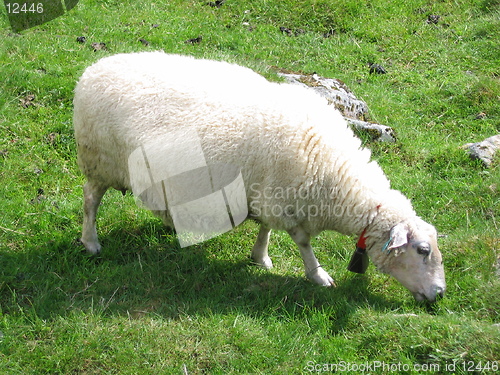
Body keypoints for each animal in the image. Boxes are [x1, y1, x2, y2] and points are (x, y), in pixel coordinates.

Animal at [73, 51, 446, 302]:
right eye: (422, 250)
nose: (440, 294)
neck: (334, 173)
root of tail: (91, 71)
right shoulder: (288, 202)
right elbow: (302, 243)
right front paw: (318, 275)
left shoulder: (268, 193)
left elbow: (266, 228)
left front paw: (260, 257)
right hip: (100, 161)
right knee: (91, 200)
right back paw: (91, 243)